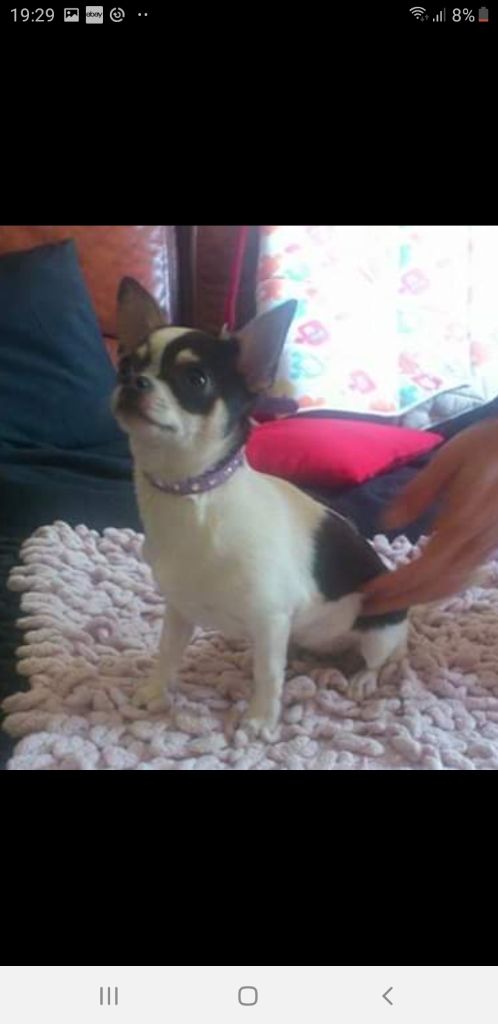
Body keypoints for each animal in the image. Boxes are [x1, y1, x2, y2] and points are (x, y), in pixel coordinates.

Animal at [112, 277, 408, 735]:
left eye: (195, 379)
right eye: (126, 366)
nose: (133, 383)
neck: (192, 496)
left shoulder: (270, 619)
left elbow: (266, 673)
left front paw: (260, 720)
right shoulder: (179, 611)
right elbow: (168, 653)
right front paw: (155, 692)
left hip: (379, 631)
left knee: (377, 660)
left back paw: (362, 679)